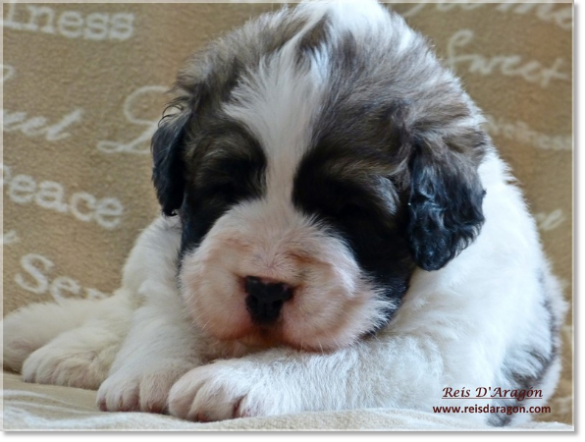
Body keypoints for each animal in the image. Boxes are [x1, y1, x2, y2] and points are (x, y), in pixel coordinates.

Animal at [2, 0, 564, 428]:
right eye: (225, 189)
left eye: (350, 211)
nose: (265, 289)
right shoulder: (183, 258)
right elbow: (168, 310)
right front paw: (147, 373)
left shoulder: (438, 356)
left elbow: (345, 361)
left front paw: (235, 380)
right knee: (122, 304)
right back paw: (62, 345)